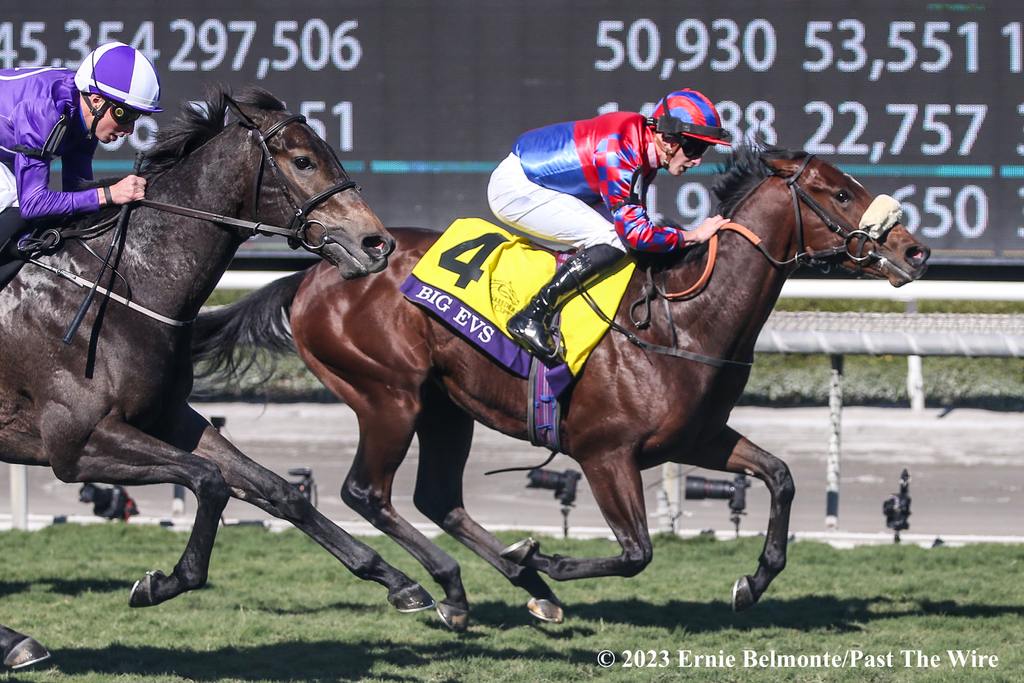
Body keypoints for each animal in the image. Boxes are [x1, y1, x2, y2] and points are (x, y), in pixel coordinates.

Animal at [0, 88, 434, 671]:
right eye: (304, 161)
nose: (377, 243)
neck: (123, 283)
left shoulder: (167, 417)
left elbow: (278, 490)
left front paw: (399, 581)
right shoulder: (76, 442)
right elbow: (209, 480)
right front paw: (160, 583)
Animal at [190, 147, 929, 634]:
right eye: (839, 193)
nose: (915, 250)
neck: (685, 319)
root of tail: (315, 273)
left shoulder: (696, 437)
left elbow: (780, 477)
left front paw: (752, 580)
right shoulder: (606, 454)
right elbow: (636, 553)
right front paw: (544, 553)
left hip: (444, 405)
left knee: (437, 497)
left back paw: (502, 586)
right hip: (388, 395)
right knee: (366, 493)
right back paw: (452, 584)